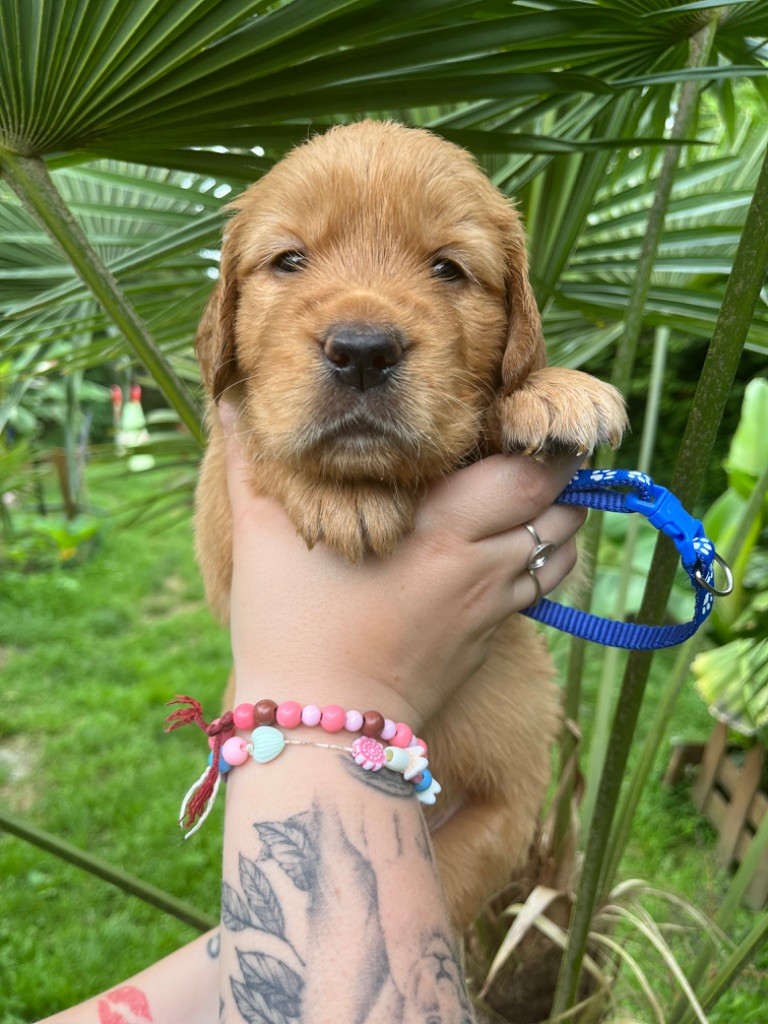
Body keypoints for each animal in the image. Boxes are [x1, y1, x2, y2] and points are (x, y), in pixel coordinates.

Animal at [193, 117, 626, 929]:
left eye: (449, 269)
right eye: (288, 260)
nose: (363, 350)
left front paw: (550, 389)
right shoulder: (218, 517)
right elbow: (264, 446)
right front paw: (339, 493)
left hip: (502, 815)